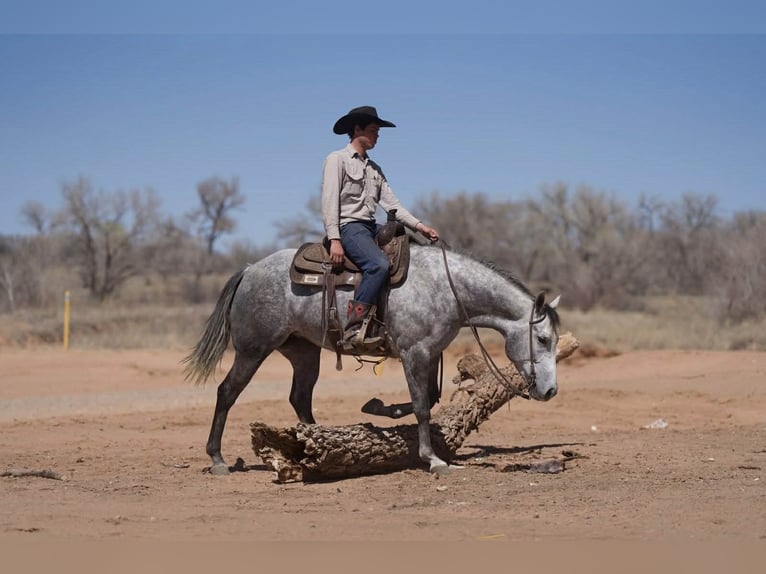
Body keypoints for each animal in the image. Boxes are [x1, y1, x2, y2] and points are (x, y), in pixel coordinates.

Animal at [183, 242, 561, 475]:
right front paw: (433, 460)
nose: (550, 392)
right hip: (253, 349)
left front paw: (379, 408)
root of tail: (249, 270)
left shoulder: (430, 353)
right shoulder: (414, 352)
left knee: (299, 397)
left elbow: (429, 399)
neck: (446, 289)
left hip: (304, 353)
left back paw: (322, 446)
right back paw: (217, 458)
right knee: (227, 392)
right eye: (542, 339)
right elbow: (422, 406)